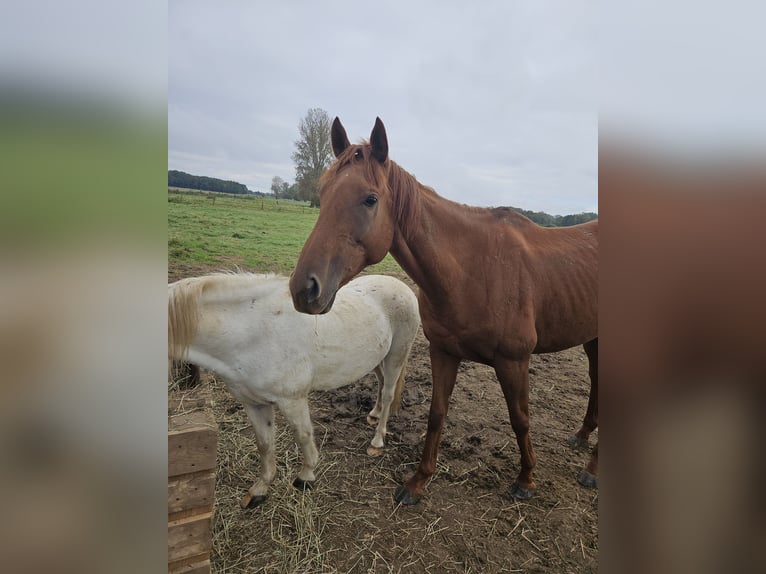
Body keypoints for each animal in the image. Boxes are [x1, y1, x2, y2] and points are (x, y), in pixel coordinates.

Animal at [169, 272, 420, 506]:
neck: (252, 332)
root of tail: (402, 286)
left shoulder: (292, 400)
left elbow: (303, 436)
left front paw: (305, 477)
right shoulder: (253, 403)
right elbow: (264, 444)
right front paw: (259, 490)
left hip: (397, 354)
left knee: (388, 394)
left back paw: (377, 441)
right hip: (377, 358)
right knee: (381, 383)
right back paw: (373, 413)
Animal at [292, 119, 596, 506]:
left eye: (370, 199)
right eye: (324, 192)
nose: (304, 288)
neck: (474, 269)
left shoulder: (515, 361)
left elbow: (520, 419)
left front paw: (526, 479)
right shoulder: (443, 352)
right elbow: (436, 415)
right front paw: (418, 481)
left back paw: (591, 470)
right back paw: (582, 437)